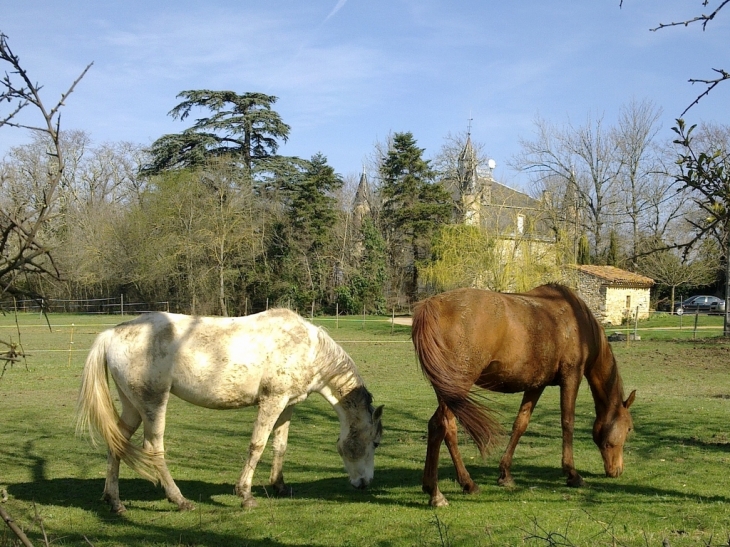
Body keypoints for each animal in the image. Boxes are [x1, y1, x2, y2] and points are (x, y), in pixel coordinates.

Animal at [75, 310, 382, 512]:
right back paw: (179, 500)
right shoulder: (272, 401)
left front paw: (279, 486)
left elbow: (280, 445)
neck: (307, 348)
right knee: (153, 448)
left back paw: (115, 502)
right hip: (153, 405)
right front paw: (245, 495)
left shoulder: (288, 405)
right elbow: (257, 445)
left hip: (133, 407)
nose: (365, 483)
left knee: (117, 443)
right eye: (376, 443)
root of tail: (111, 333)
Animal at [412, 284, 636, 508]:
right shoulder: (572, 376)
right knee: (441, 426)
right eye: (629, 428)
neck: (578, 323)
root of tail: (433, 305)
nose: (617, 471)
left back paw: (460, 485)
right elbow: (567, 423)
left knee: (445, 428)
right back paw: (438, 492)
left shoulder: (536, 385)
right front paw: (572, 474)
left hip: (448, 391)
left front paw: (505, 474)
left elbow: (521, 423)